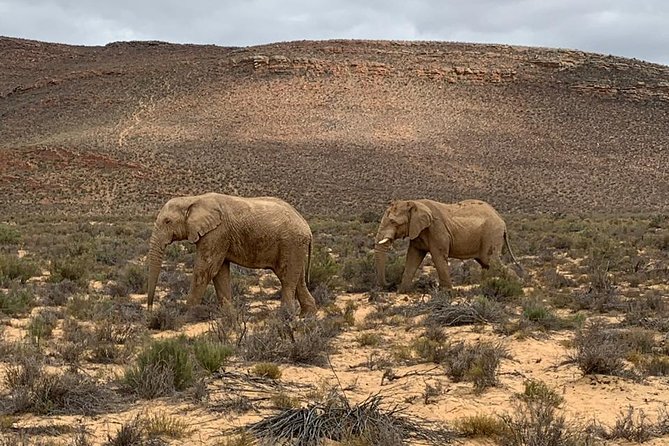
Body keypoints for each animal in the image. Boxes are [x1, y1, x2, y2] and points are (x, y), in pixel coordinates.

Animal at [145, 193, 316, 316]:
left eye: (167, 221)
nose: (150, 312)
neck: (192, 199)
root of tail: (307, 228)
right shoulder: (218, 236)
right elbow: (220, 272)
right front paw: (229, 315)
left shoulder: (216, 233)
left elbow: (205, 270)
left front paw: (186, 314)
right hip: (295, 246)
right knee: (298, 279)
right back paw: (307, 315)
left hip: (291, 243)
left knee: (287, 278)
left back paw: (285, 317)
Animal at [374, 199, 520, 292]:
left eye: (393, 222)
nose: (391, 284)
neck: (415, 203)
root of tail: (502, 220)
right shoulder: (417, 231)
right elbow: (413, 257)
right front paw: (402, 292)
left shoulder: (437, 229)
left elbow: (438, 256)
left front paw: (446, 292)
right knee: (486, 263)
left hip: (491, 234)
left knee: (490, 261)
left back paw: (516, 284)